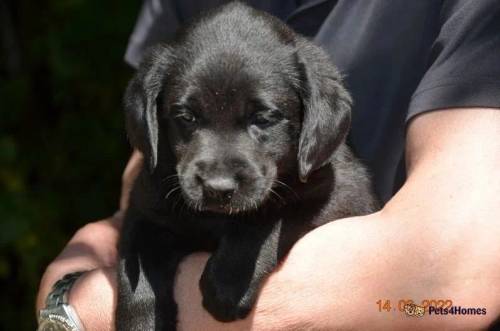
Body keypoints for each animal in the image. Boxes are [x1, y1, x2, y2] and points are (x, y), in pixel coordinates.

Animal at [118, 1, 378, 330]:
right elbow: (136, 278)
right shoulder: (146, 209)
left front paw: (227, 282)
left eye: (263, 118)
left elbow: (269, 216)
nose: (217, 189)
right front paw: (143, 320)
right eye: (186, 117)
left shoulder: (341, 194)